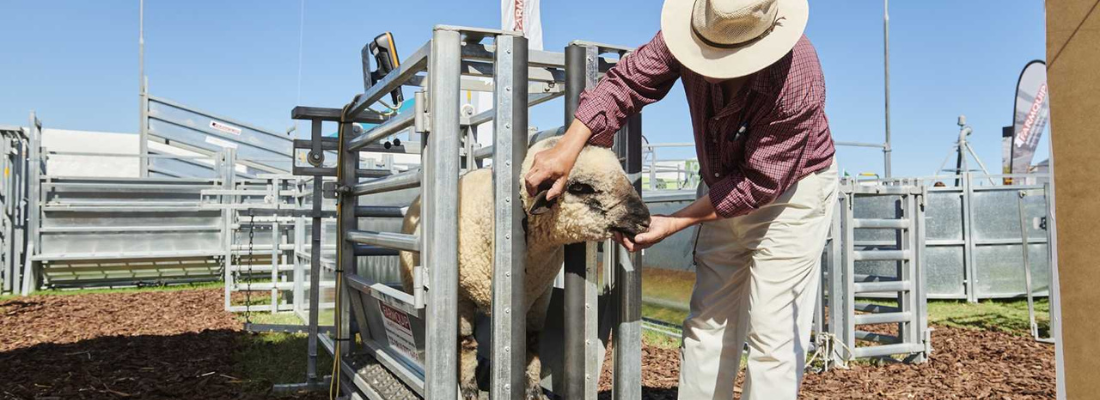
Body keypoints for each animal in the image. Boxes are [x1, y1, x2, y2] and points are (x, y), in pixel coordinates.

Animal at [400, 136, 646, 397]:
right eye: (580, 187)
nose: (645, 220)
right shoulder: (460, 297)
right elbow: (466, 342)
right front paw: (468, 388)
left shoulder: (540, 295)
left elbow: (532, 342)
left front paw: (534, 389)